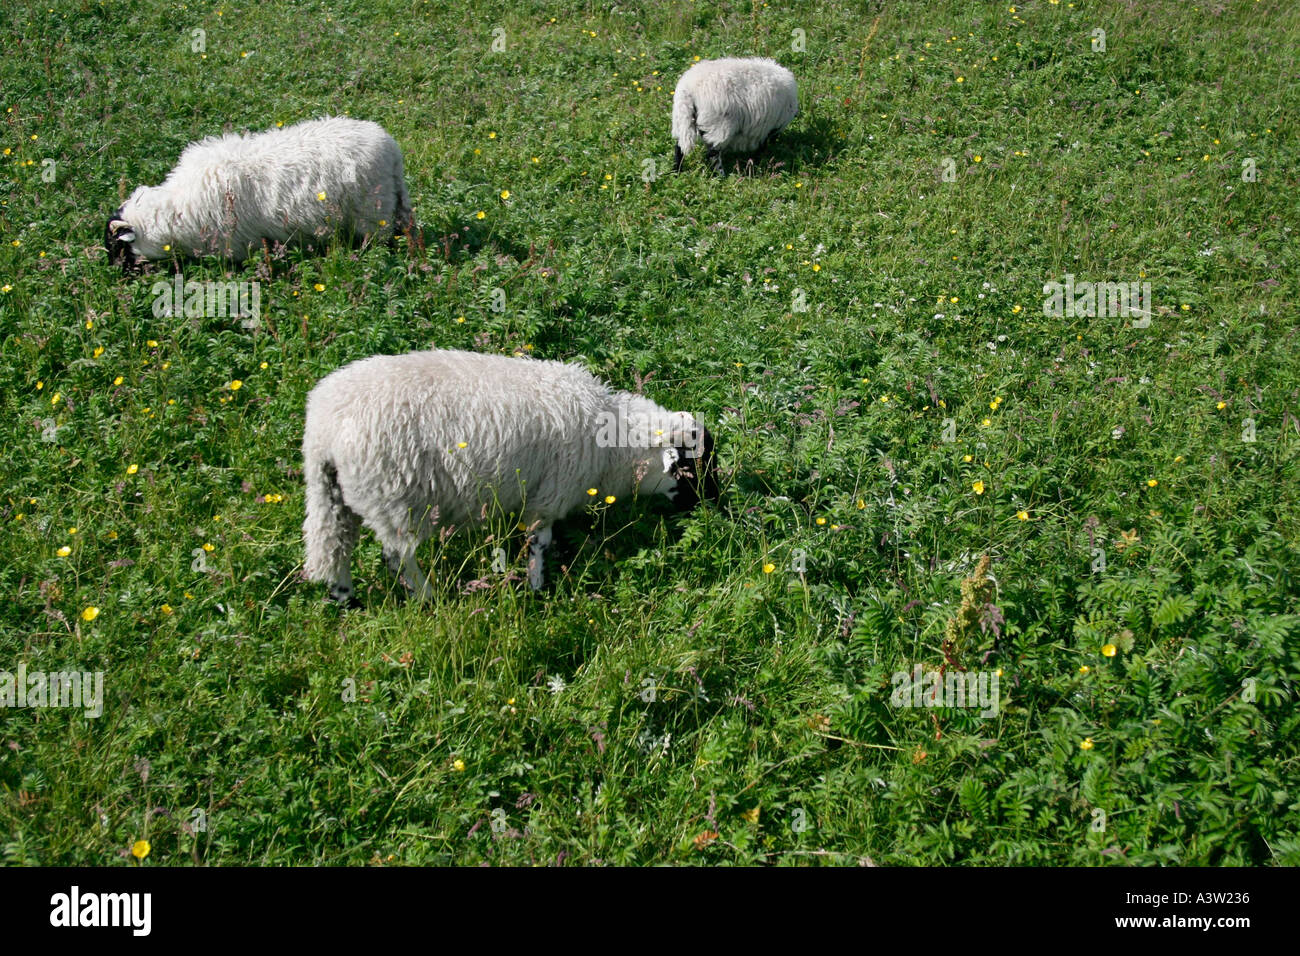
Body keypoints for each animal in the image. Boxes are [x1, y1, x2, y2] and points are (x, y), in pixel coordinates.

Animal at [104, 116, 412, 271]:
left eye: (118, 246)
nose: (115, 272)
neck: (175, 209)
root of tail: (390, 147)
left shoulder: (236, 244)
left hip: (373, 213)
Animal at [301, 349, 719, 604]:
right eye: (692, 467)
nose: (713, 504)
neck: (613, 447)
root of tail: (324, 429)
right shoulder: (547, 496)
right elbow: (538, 543)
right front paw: (537, 587)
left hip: (337, 495)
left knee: (335, 545)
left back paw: (346, 598)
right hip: (394, 498)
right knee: (397, 557)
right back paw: (428, 599)